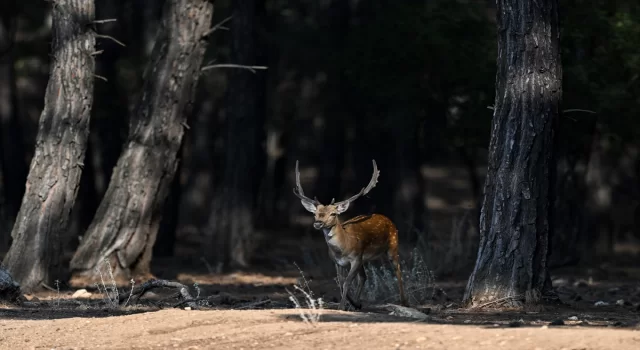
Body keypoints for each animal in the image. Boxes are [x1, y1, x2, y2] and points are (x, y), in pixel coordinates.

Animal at [292, 160, 408, 310]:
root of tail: (389, 219)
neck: (343, 248)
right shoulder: (338, 262)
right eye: (315, 213)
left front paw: (342, 306)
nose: (318, 223)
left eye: (333, 214)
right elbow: (341, 283)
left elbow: (347, 282)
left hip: (392, 245)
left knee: (398, 270)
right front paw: (350, 303)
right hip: (364, 259)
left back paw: (404, 302)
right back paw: (357, 304)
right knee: (364, 277)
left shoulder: (356, 258)